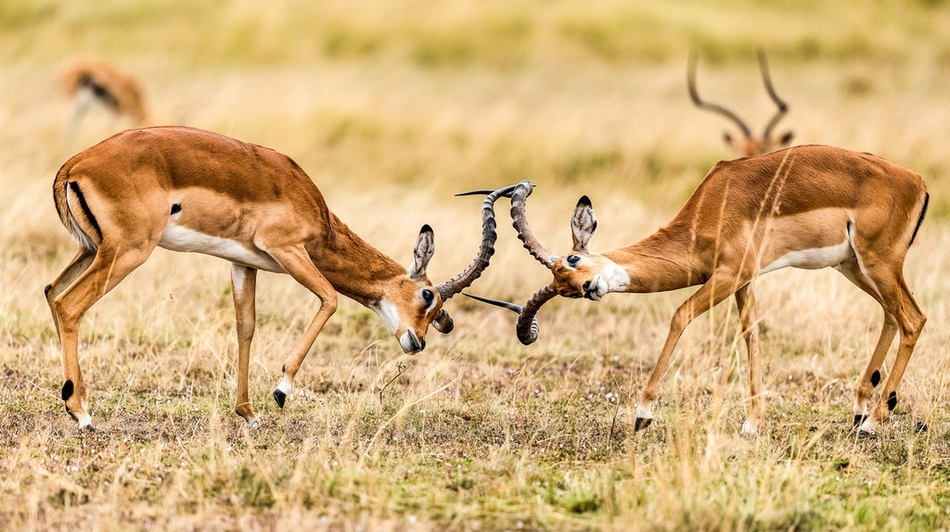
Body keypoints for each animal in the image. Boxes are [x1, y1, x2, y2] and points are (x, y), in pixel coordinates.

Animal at [48, 125, 516, 432]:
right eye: (427, 295)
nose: (416, 342)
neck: (315, 211)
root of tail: (74, 165)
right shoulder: (288, 251)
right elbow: (330, 299)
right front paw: (281, 391)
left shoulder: (244, 263)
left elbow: (246, 327)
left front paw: (248, 413)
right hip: (128, 252)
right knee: (71, 304)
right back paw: (84, 415)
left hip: (90, 250)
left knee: (53, 294)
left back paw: (73, 400)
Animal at [472, 143, 932, 434]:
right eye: (563, 288)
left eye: (570, 261)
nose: (589, 287)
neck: (711, 208)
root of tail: (918, 182)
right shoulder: (743, 280)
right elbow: (751, 334)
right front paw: (753, 424)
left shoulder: (728, 275)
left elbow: (680, 315)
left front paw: (643, 413)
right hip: (854, 266)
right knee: (892, 316)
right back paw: (860, 410)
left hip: (877, 263)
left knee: (914, 318)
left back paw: (872, 423)